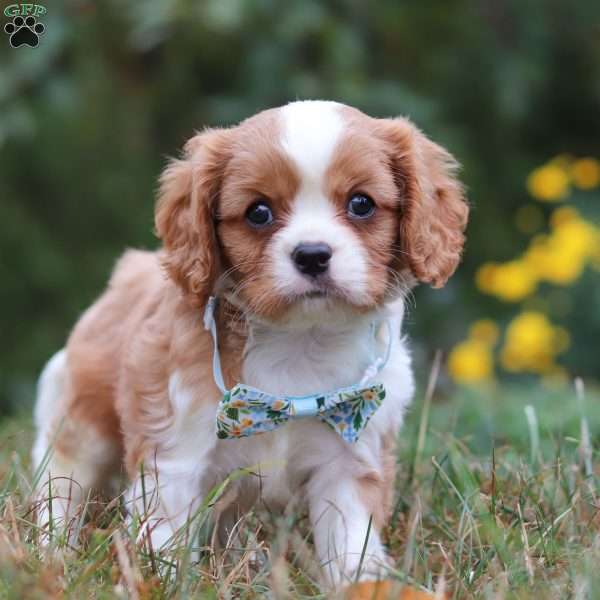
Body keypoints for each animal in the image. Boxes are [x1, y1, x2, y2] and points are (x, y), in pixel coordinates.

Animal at [31, 101, 468, 592]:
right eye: (258, 212)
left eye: (361, 204)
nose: (312, 254)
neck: (300, 343)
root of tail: (130, 269)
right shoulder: (176, 459)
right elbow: (165, 540)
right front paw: (161, 585)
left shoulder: (351, 460)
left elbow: (351, 543)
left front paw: (362, 587)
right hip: (84, 423)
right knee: (60, 484)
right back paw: (51, 553)